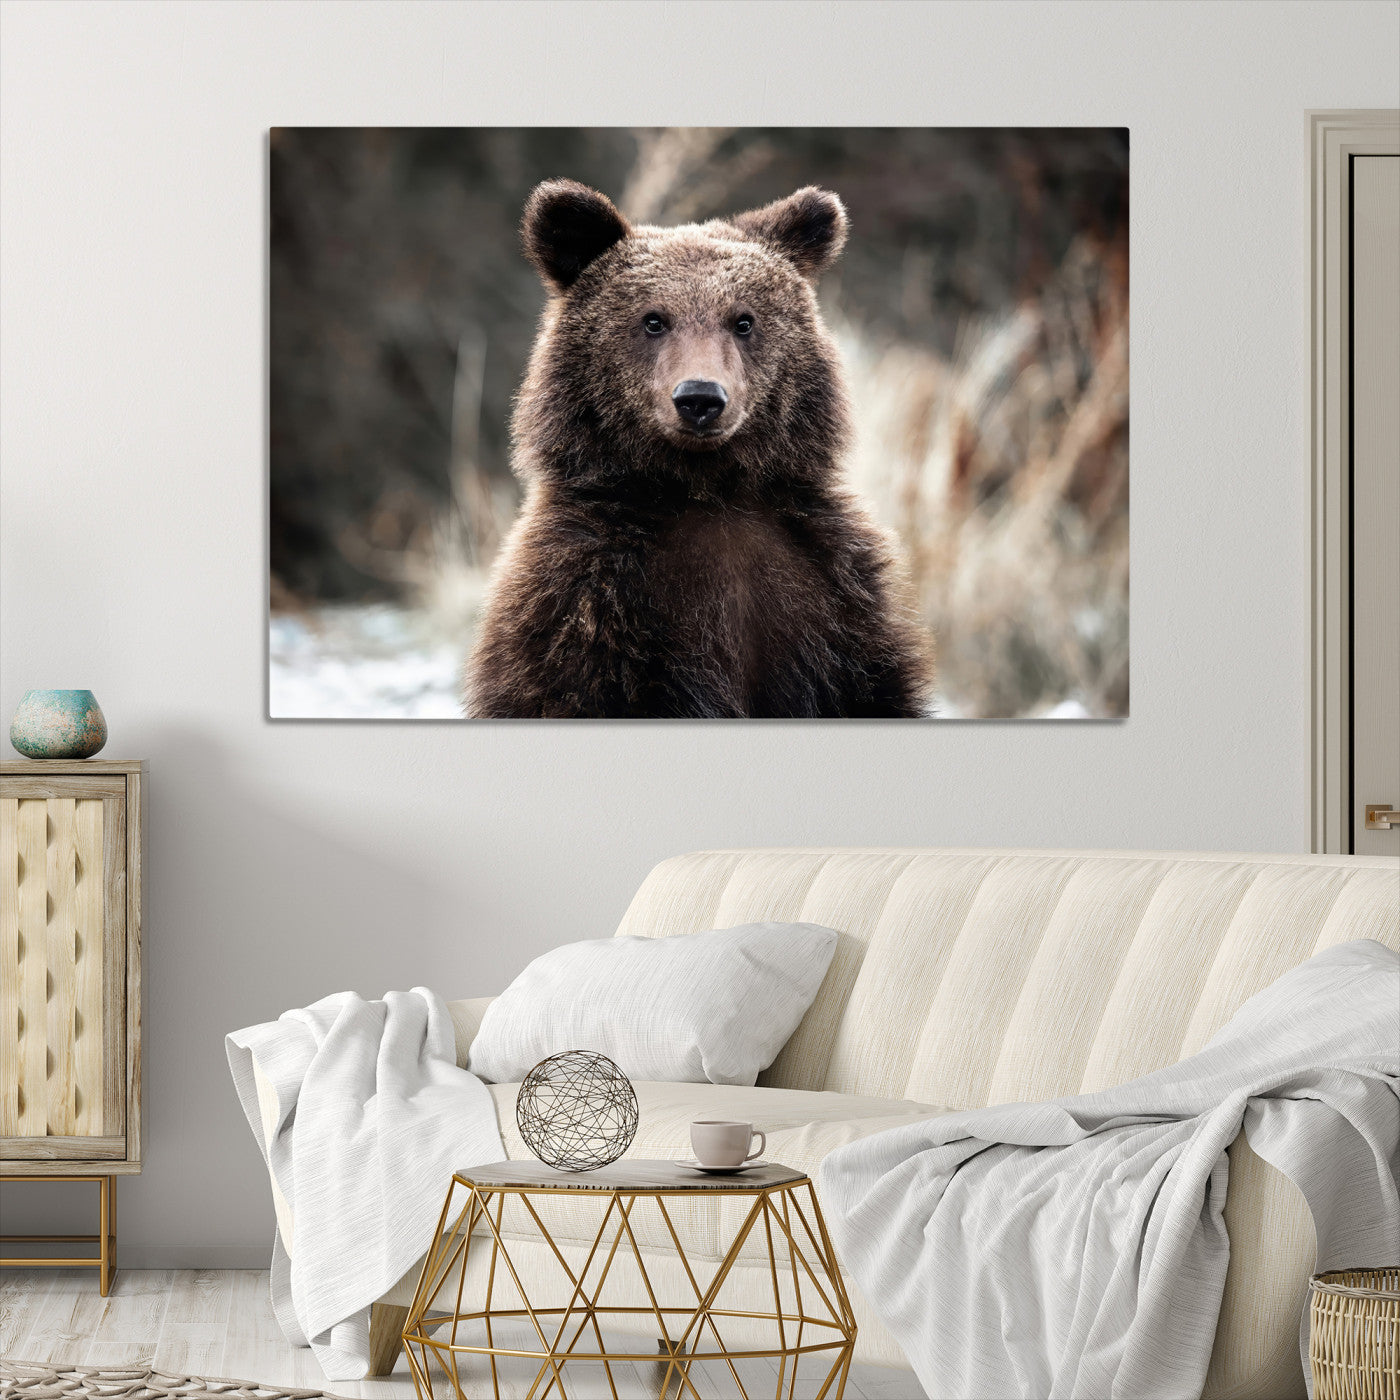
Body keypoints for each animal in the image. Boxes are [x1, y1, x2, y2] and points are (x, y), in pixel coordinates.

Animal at [465, 179, 934, 718]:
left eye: (744, 321)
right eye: (653, 320)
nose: (700, 398)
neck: (706, 490)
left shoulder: (834, 600)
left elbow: (871, 687)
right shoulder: (585, 606)